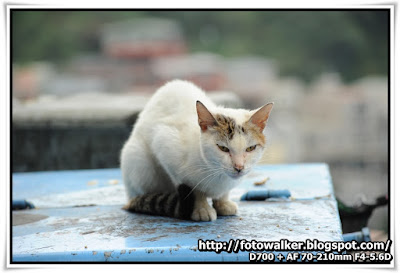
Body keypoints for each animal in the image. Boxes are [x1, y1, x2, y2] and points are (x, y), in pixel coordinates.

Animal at [120, 79, 274, 220]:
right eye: (223, 148)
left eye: (250, 148)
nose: (239, 167)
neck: (216, 173)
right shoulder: (164, 147)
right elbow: (194, 189)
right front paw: (201, 208)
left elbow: (223, 193)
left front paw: (223, 203)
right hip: (139, 163)